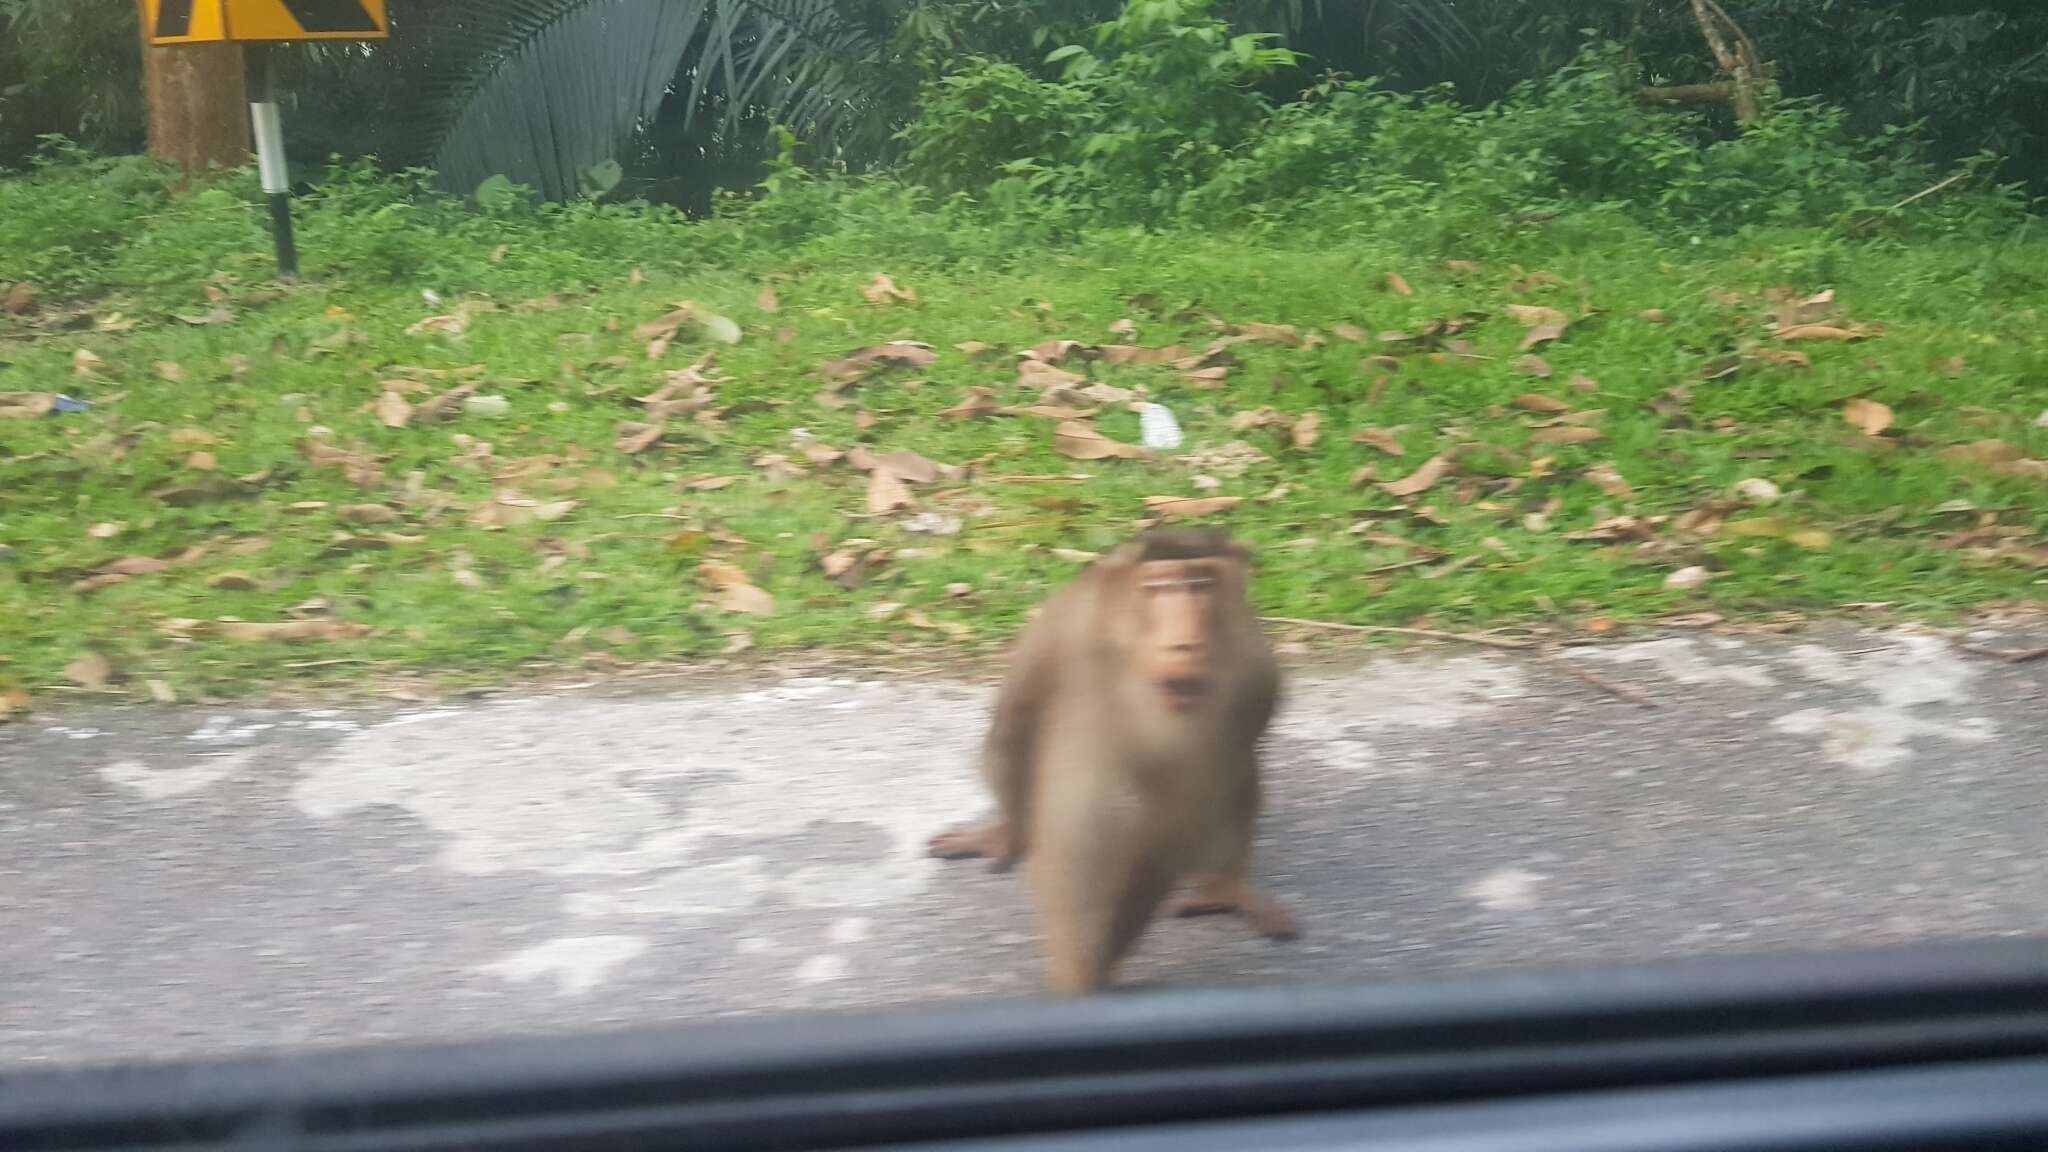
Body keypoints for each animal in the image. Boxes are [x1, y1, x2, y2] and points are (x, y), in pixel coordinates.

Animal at [929, 524, 1294, 992]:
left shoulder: (1252, 666)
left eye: (1200, 584)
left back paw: (1223, 888)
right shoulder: (1068, 634)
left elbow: (1183, 812)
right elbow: (1022, 731)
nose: (1184, 642)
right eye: (1158, 588)